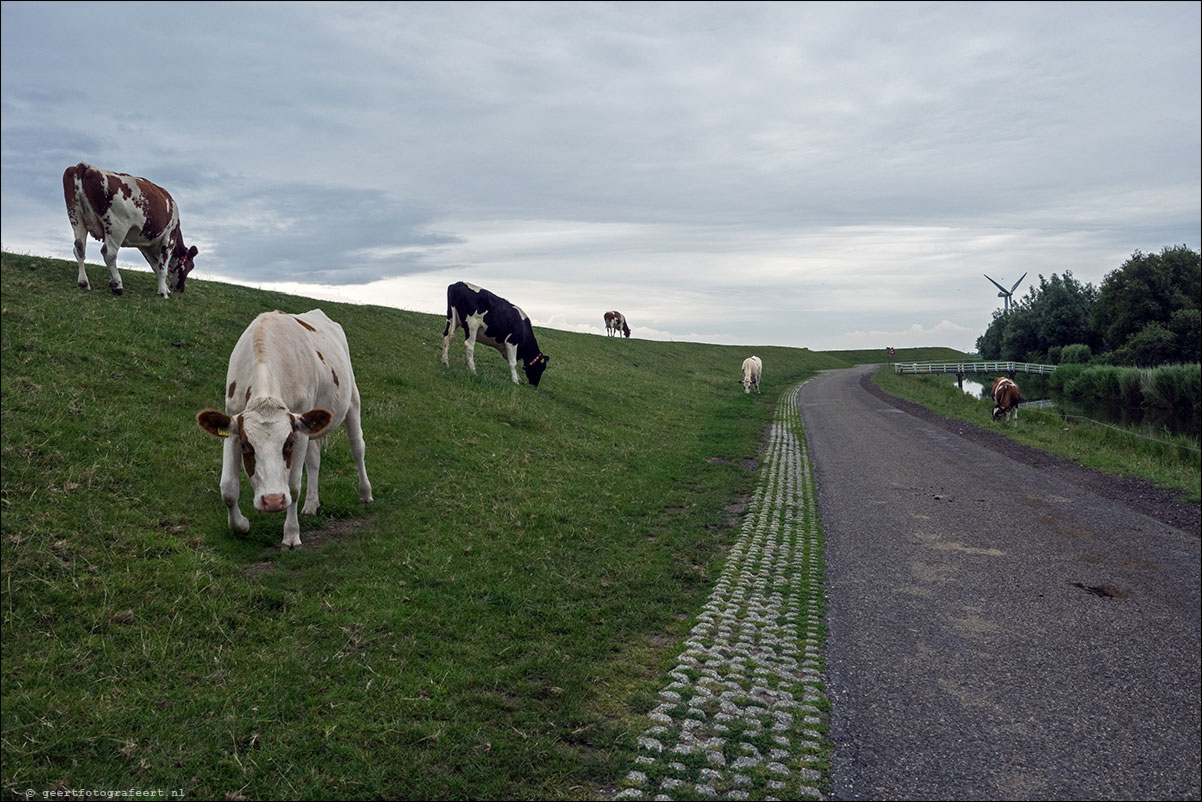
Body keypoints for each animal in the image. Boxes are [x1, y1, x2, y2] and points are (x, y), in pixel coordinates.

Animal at [62, 161, 198, 296]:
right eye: (190, 266)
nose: (181, 288)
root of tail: (85, 166)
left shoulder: (145, 245)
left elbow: (155, 266)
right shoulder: (169, 238)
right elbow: (162, 267)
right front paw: (163, 292)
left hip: (76, 216)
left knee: (79, 248)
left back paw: (83, 283)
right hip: (117, 225)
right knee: (109, 253)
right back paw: (117, 285)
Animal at [194, 310, 372, 548]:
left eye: (288, 443)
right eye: (245, 446)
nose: (272, 501)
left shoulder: (299, 429)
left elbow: (293, 486)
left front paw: (291, 534)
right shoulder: (232, 424)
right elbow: (228, 489)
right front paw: (241, 525)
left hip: (352, 400)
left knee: (357, 448)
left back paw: (365, 493)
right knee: (314, 460)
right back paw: (311, 504)